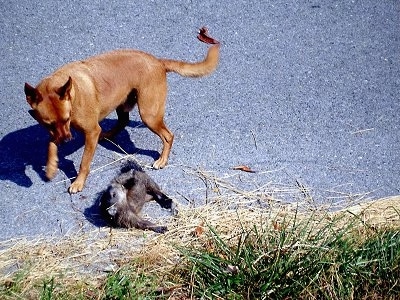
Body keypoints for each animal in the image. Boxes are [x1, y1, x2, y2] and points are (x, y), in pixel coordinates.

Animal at [25, 27, 220, 192]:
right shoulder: (58, 131)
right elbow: (50, 145)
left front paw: (78, 182)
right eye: (49, 124)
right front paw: (51, 167)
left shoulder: (89, 131)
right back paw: (107, 134)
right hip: (123, 103)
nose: (66, 141)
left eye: (67, 118)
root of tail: (158, 62)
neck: (73, 93)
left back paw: (162, 160)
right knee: (123, 121)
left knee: (168, 135)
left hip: (149, 115)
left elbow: (84, 162)